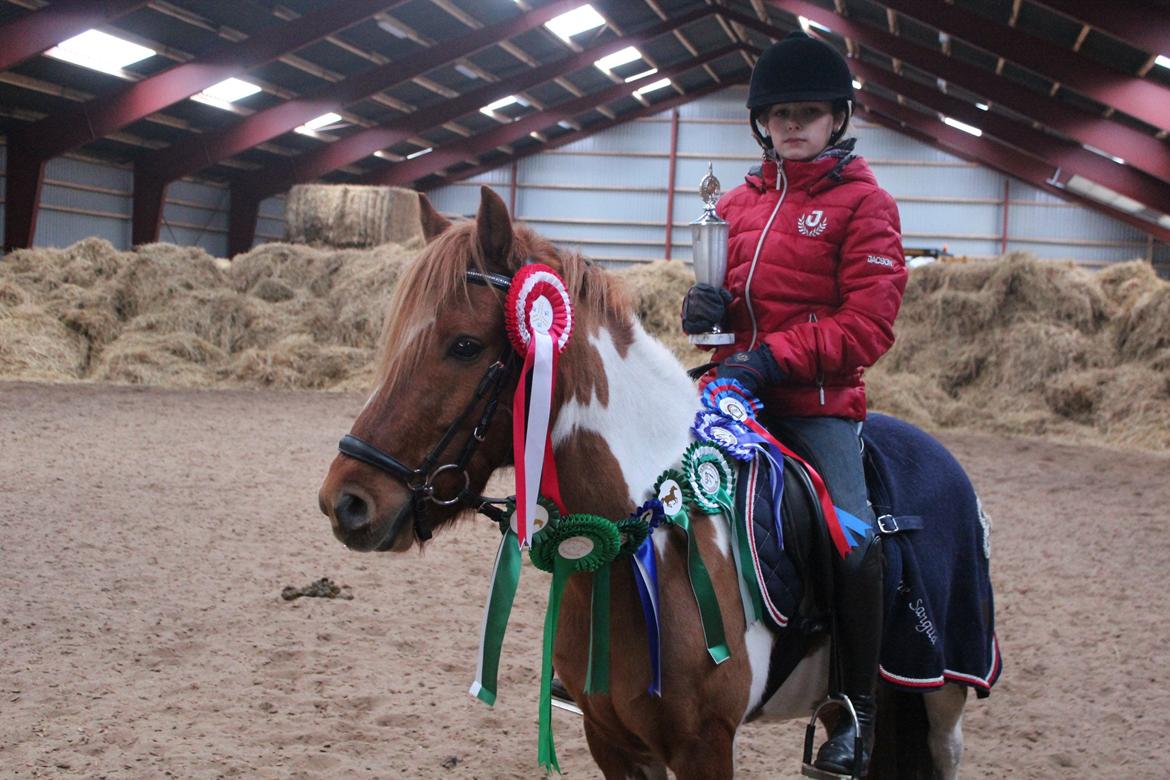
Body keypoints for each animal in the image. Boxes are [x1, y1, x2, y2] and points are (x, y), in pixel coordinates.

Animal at [315, 185, 982, 776]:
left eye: (463, 346)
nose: (345, 502)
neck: (647, 531)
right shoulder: (612, 739)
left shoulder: (704, 746)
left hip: (941, 693)